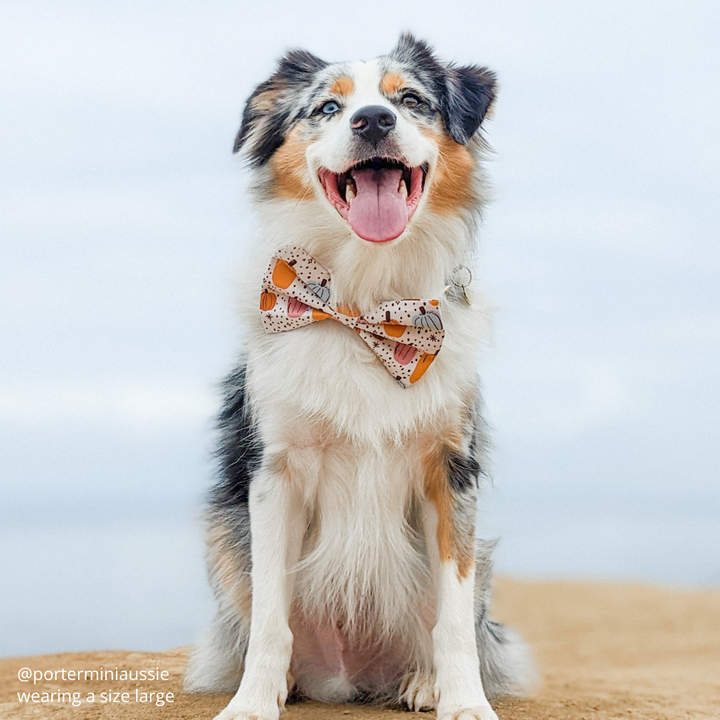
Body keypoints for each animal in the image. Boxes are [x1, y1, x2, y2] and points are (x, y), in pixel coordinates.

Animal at [186, 32, 536, 720]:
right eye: (327, 107)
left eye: (411, 100)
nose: (373, 119)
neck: (368, 305)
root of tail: (351, 679)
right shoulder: (275, 470)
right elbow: (270, 618)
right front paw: (252, 701)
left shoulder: (451, 469)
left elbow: (453, 617)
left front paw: (464, 701)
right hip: (222, 535)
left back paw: (422, 682)